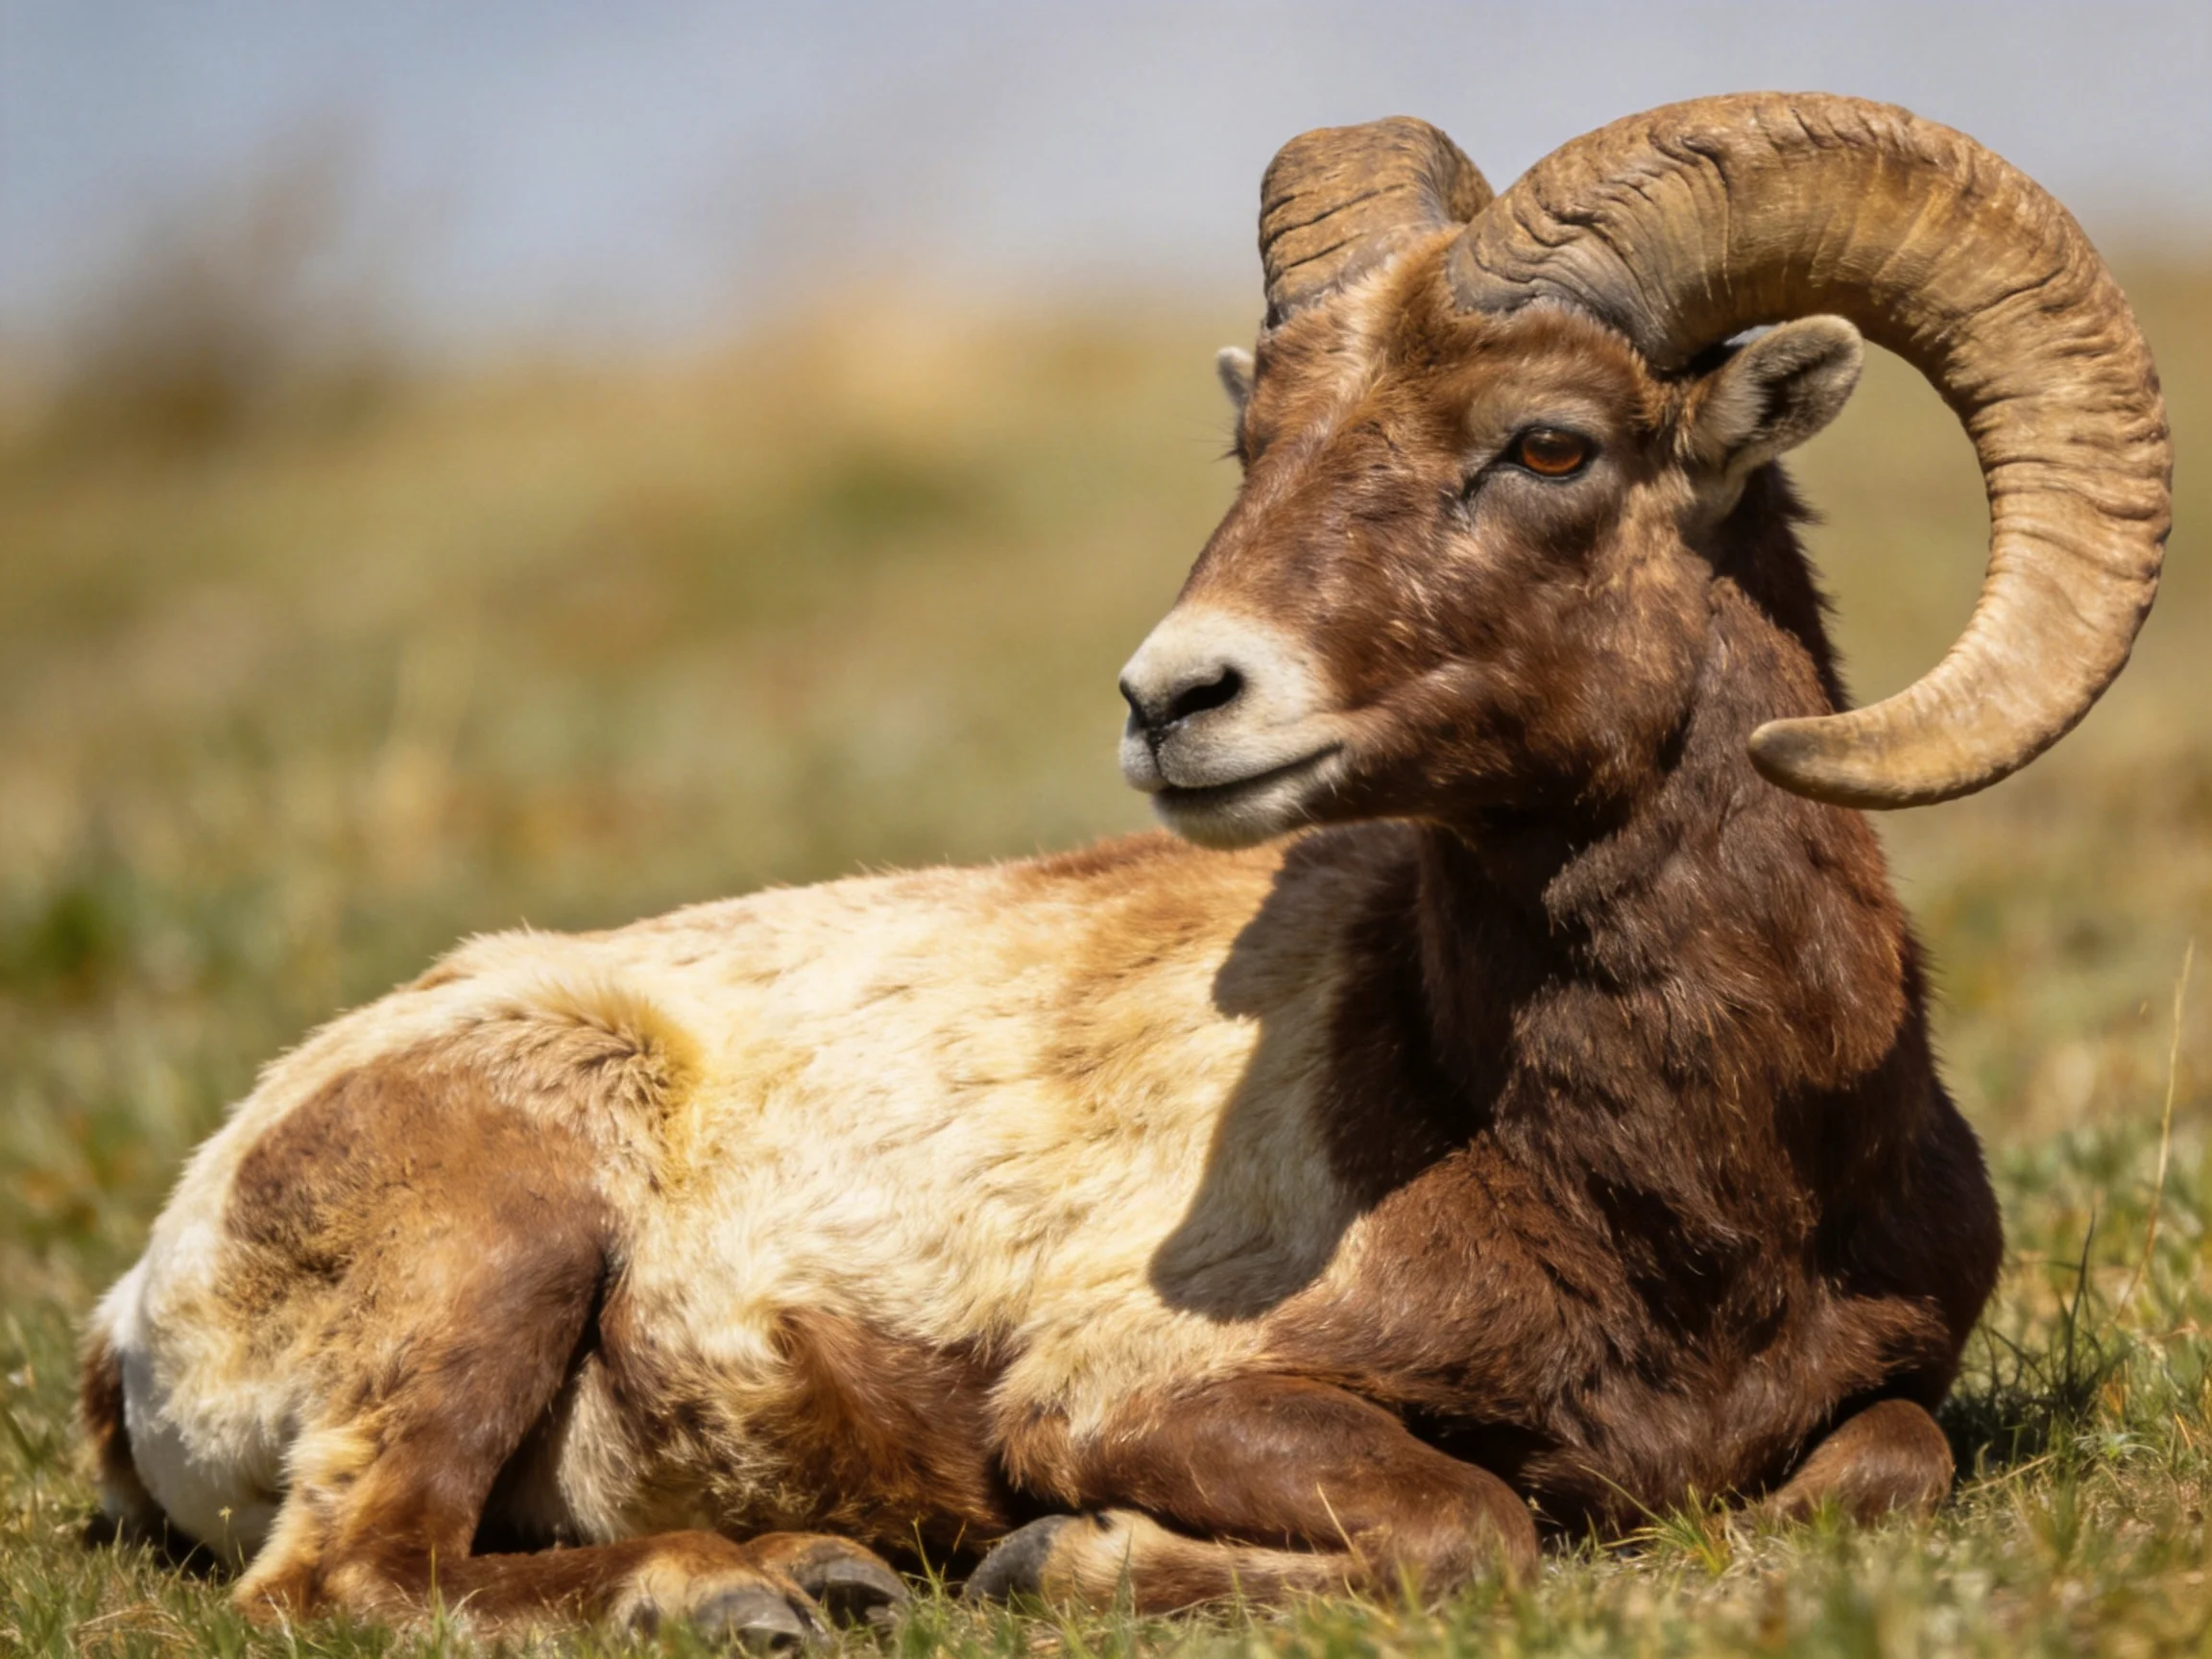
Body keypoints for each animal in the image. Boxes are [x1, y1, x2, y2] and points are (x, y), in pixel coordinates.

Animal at [81, 92, 2169, 1639]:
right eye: (1257, 438)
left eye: (1549, 443)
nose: (1179, 697)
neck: (1678, 1197)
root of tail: (147, 1301)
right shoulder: (1144, 1392)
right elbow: (1466, 1523)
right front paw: (1056, 1562)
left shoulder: (1878, 1403)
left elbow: (1874, 1474)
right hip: (494, 1254)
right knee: (348, 1579)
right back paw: (768, 1589)